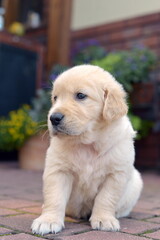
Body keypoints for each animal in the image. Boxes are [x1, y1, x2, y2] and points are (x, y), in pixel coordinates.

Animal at [31, 64, 142, 235]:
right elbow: (54, 197)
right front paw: (48, 221)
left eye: (81, 96)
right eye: (55, 98)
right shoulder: (58, 171)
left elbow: (106, 198)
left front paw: (104, 219)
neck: (87, 143)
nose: (53, 118)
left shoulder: (116, 174)